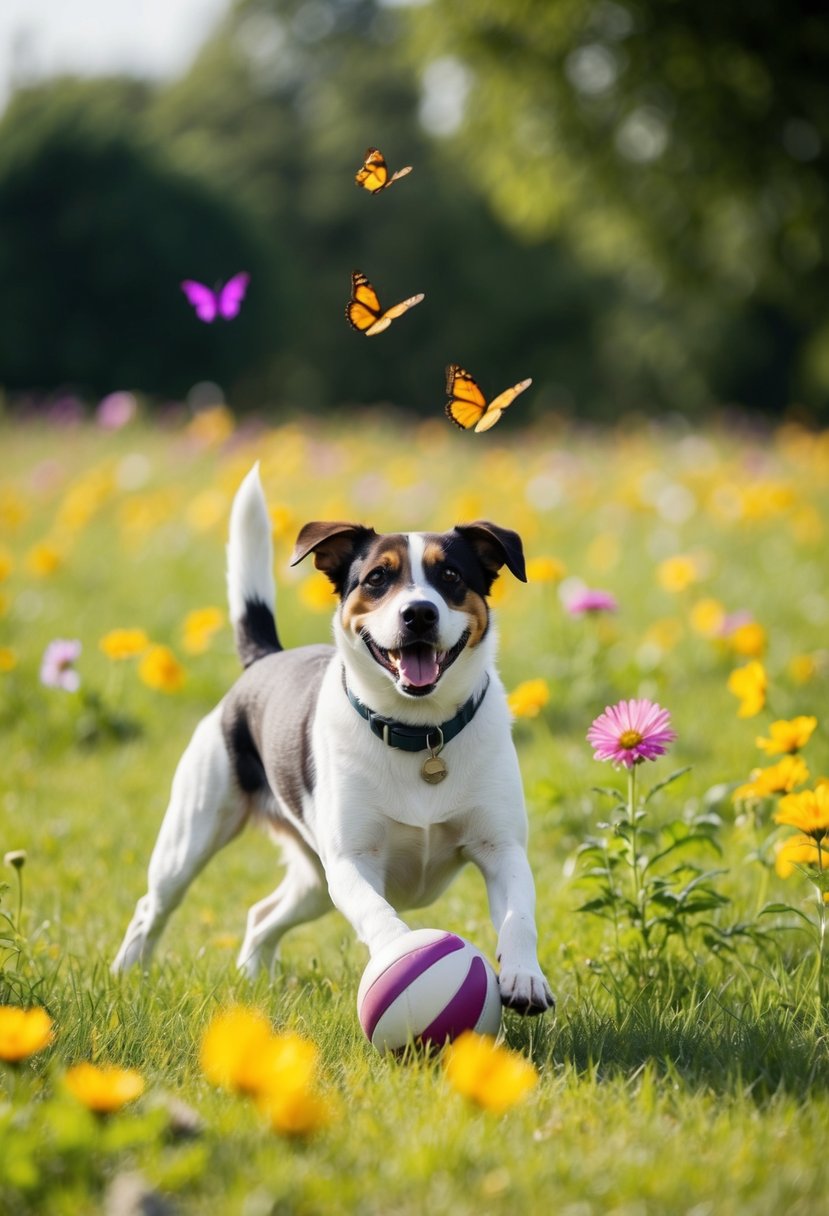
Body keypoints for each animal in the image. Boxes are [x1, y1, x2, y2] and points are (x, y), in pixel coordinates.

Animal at [110, 464, 549, 1016]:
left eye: (450, 576)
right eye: (377, 578)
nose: (419, 613)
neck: (420, 732)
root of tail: (264, 660)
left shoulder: (501, 848)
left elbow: (519, 918)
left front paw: (524, 977)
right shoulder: (351, 862)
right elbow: (378, 912)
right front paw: (403, 958)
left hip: (313, 881)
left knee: (262, 914)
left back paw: (252, 977)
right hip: (194, 836)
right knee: (154, 905)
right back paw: (128, 971)